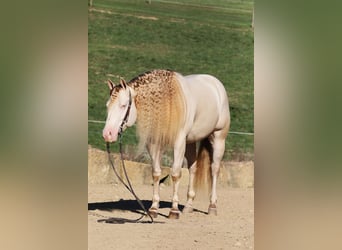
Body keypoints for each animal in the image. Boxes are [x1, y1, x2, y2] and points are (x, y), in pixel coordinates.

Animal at [101, 69, 230, 218]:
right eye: (107, 106)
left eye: (123, 105)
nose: (108, 134)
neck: (167, 103)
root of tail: (215, 83)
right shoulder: (154, 143)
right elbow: (156, 173)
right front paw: (153, 209)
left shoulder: (178, 143)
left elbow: (175, 174)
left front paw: (174, 210)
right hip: (190, 142)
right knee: (193, 168)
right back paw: (188, 206)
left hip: (218, 137)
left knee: (214, 169)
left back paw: (212, 206)